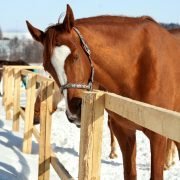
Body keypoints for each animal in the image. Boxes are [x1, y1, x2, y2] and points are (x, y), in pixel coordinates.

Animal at [25, 4, 180, 179]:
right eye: (47, 67)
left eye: (75, 56)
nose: (75, 111)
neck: (139, 66)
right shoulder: (124, 131)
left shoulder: (158, 136)